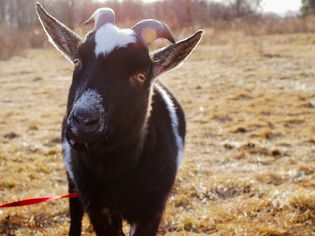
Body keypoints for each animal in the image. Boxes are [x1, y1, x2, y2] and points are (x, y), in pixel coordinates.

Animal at [35, 2, 204, 236]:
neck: (117, 168)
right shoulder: (96, 206)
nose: (84, 121)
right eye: (77, 62)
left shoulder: (152, 209)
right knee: (75, 211)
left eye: (141, 76)